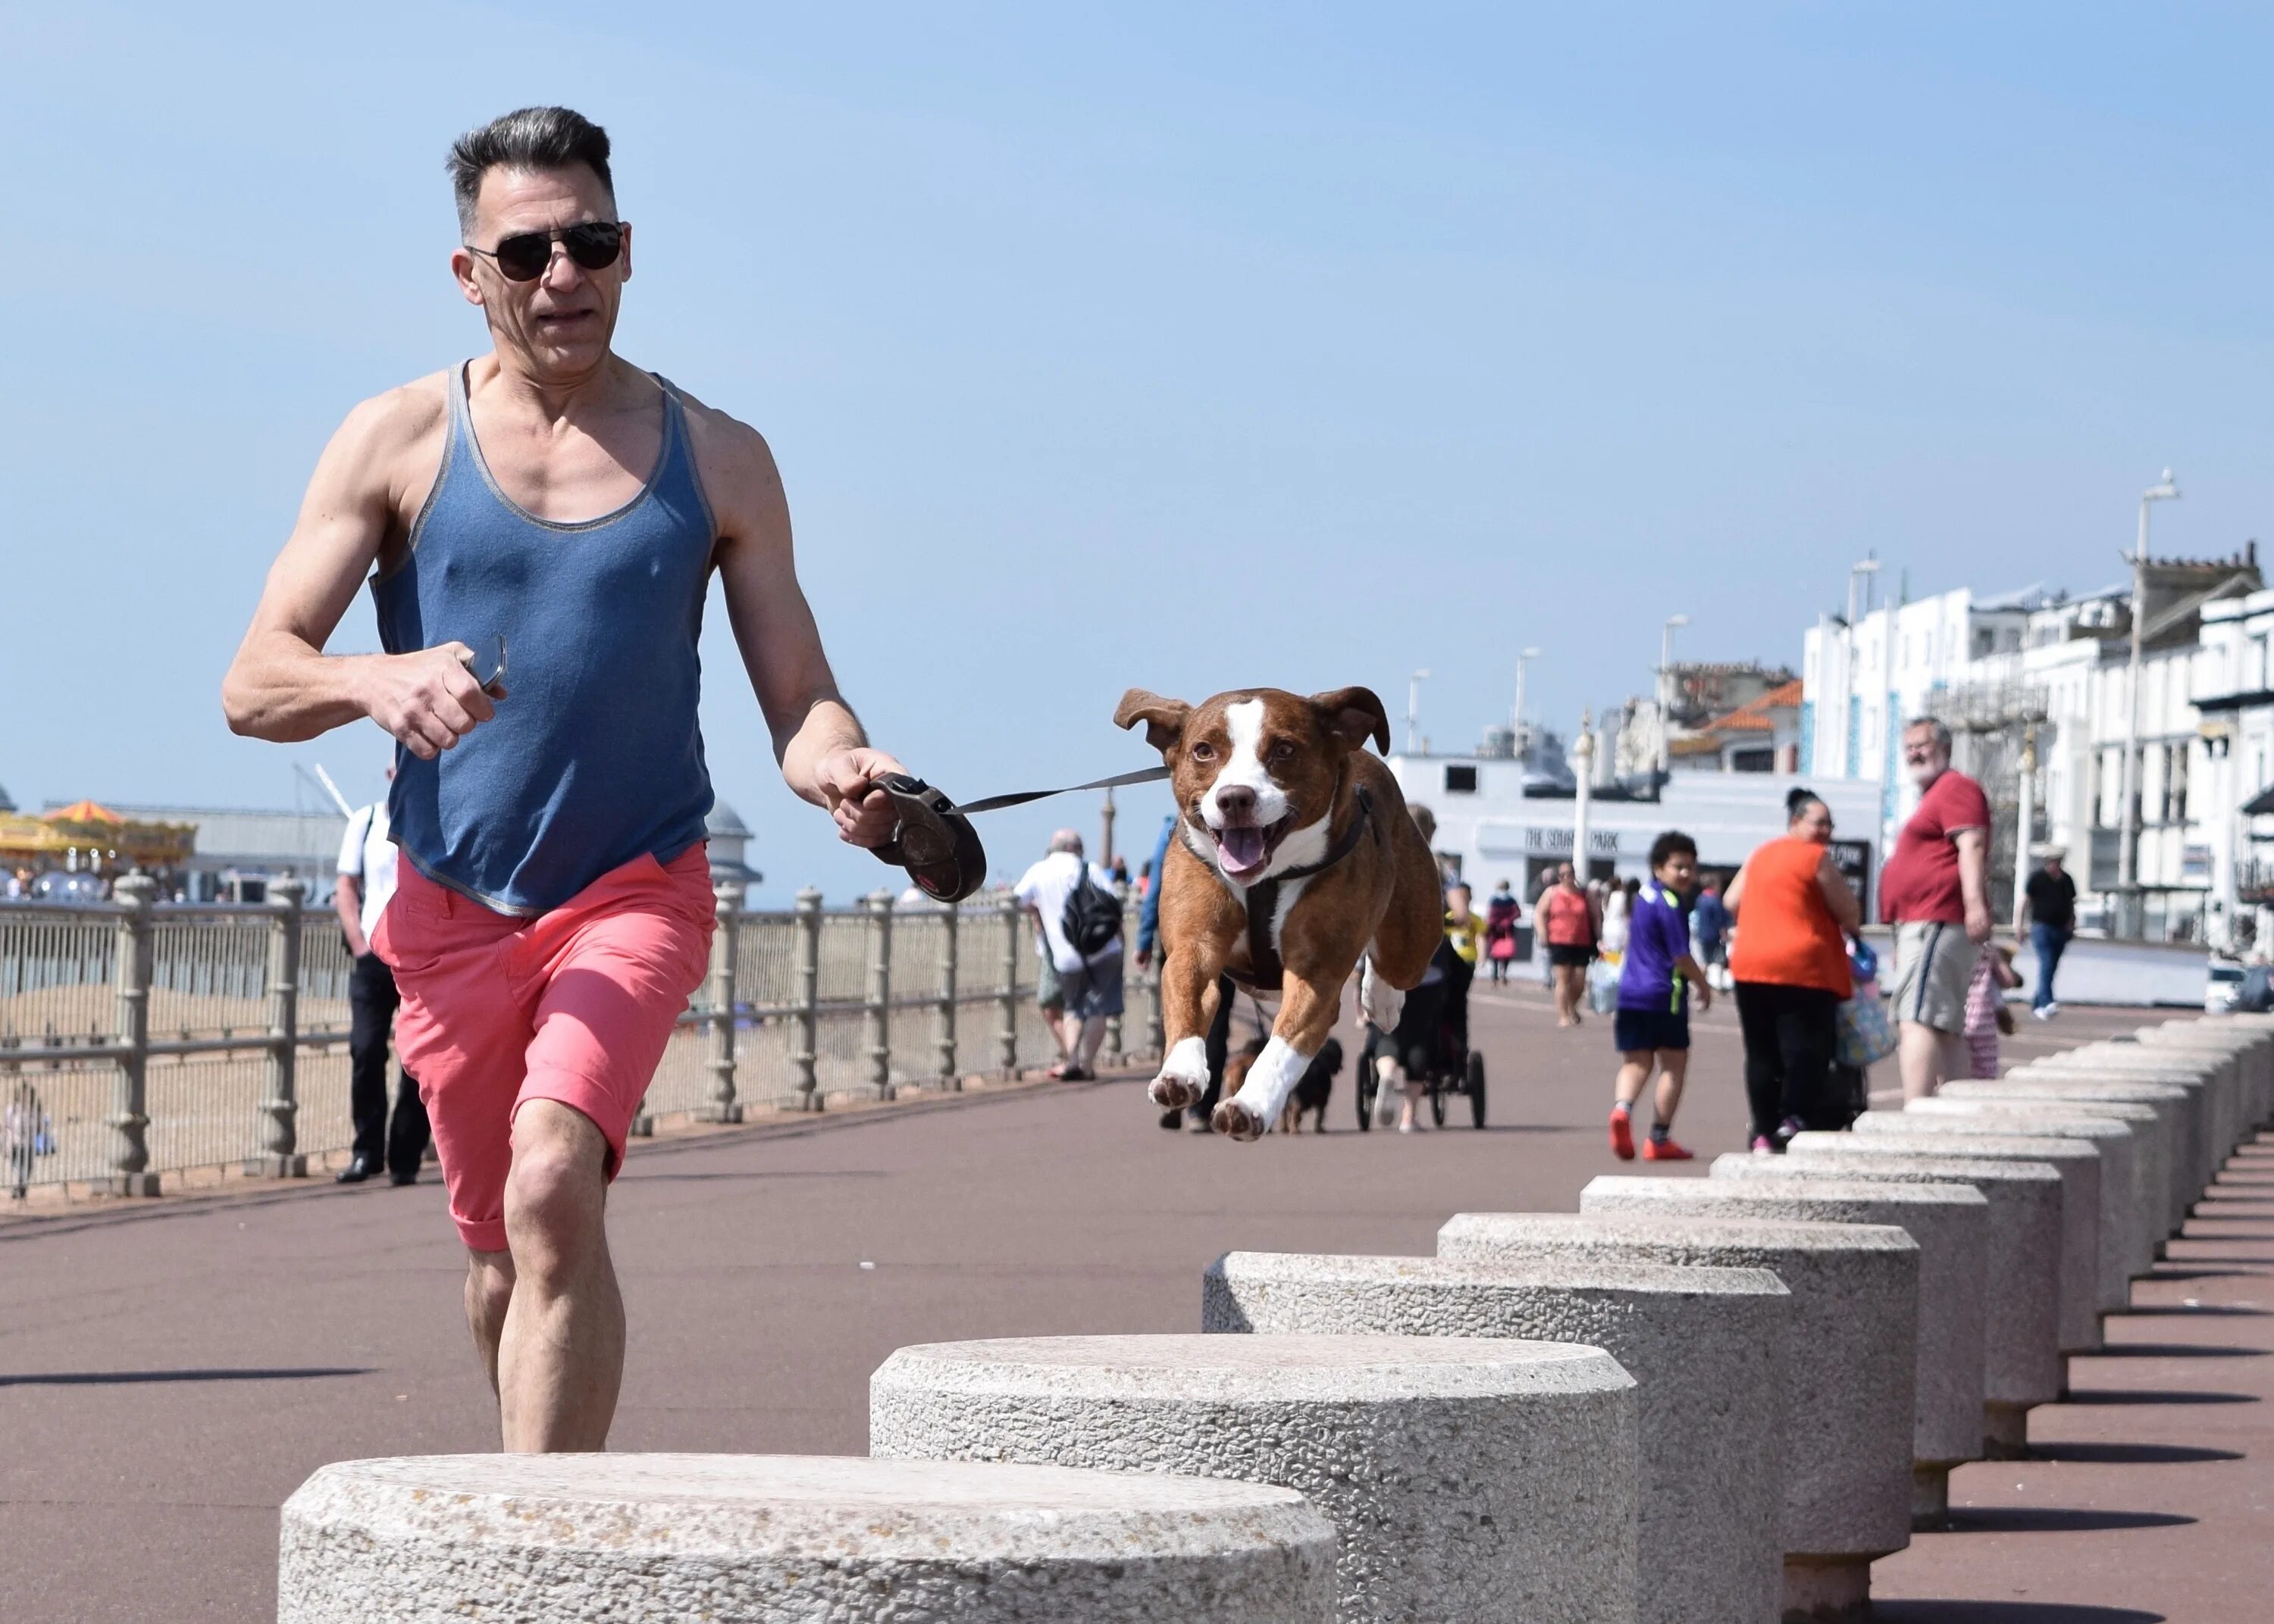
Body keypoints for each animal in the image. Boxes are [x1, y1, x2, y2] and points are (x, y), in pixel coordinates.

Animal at [1114, 682, 1437, 1137]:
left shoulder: (1316, 973)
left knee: (1394, 965)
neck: (1266, 879)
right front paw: (1179, 1074)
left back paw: (1383, 1004)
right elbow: (1187, 998)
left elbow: (1282, 1047)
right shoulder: (1194, 945)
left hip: (1413, 933)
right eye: (1203, 750)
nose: (1235, 798)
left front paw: (1250, 1106)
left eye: (1284, 749)